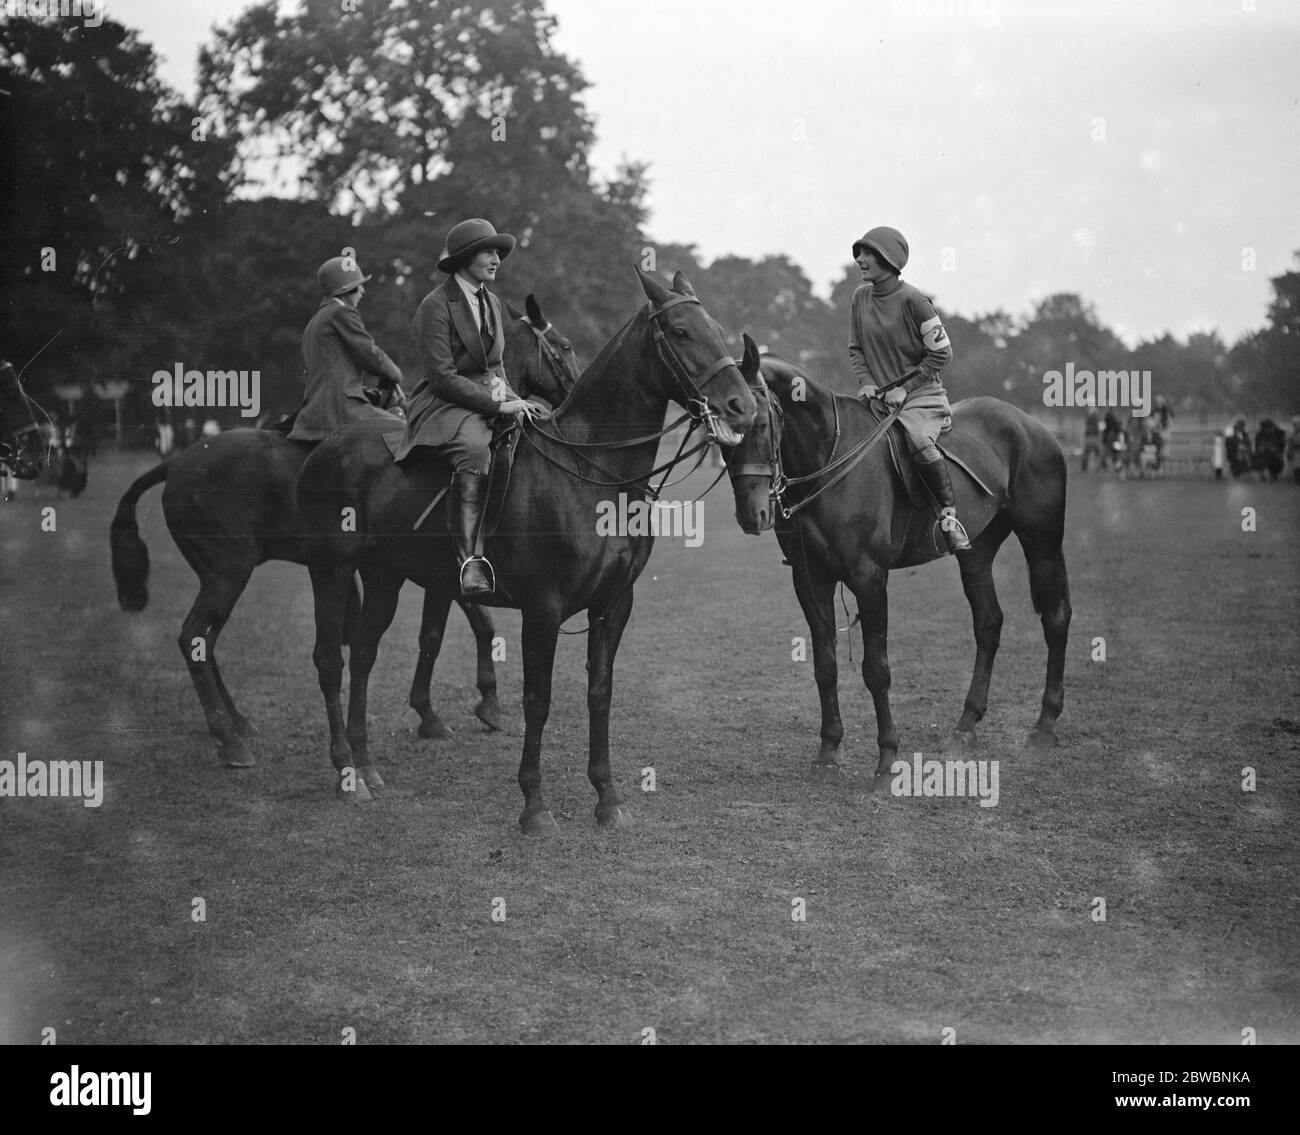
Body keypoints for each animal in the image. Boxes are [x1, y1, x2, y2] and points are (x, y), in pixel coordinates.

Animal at [111, 296, 579, 764]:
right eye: (565, 346)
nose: (571, 397)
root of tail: (178, 461)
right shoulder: (446, 572)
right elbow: (456, 629)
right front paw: (471, 705)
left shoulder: (438, 573)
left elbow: (451, 629)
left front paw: (444, 708)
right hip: (228, 573)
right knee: (194, 636)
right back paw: (228, 737)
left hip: (226, 575)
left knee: (205, 642)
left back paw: (236, 722)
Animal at [297, 269, 754, 826]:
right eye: (683, 332)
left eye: (717, 329)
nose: (743, 406)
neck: (592, 475)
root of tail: (327, 445)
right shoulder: (543, 608)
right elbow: (538, 699)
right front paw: (535, 805)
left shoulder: (614, 604)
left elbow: (599, 694)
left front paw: (607, 797)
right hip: (331, 571)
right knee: (330, 660)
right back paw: (346, 770)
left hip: (384, 574)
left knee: (363, 653)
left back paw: (365, 765)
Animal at [728, 345, 1071, 785]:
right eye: (721, 432)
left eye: (758, 422)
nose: (751, 514)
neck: (829, 457)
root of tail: (1033, 426)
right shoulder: (810, 578)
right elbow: (825, 665)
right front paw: (828, 751)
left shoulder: (869, 577)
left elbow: (877, 669)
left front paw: (887, 757)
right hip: (976, 552)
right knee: (989, 623)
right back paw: (966, 724)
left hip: (1042, 541)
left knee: (1055, 617)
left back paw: (1045, 724)